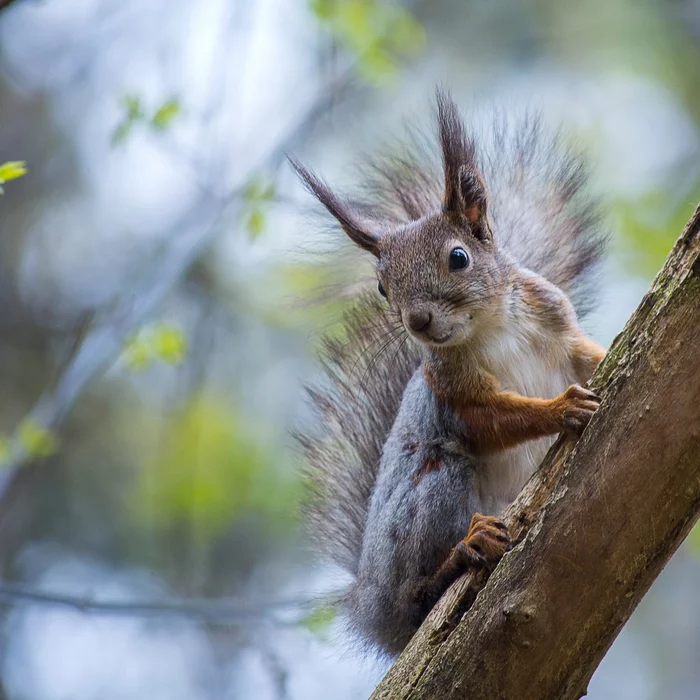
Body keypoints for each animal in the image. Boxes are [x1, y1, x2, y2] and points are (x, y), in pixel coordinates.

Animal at [290, 91, 608, 656]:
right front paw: (560, 408)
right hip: (434, 485)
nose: (417, 321)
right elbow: (492, 418)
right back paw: (462, 553)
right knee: (416, 596)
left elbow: (589, 356)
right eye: (382, 287)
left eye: (458, 257)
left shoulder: (560, 328)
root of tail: (372, 610)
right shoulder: (452, 390)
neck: (492, 327)